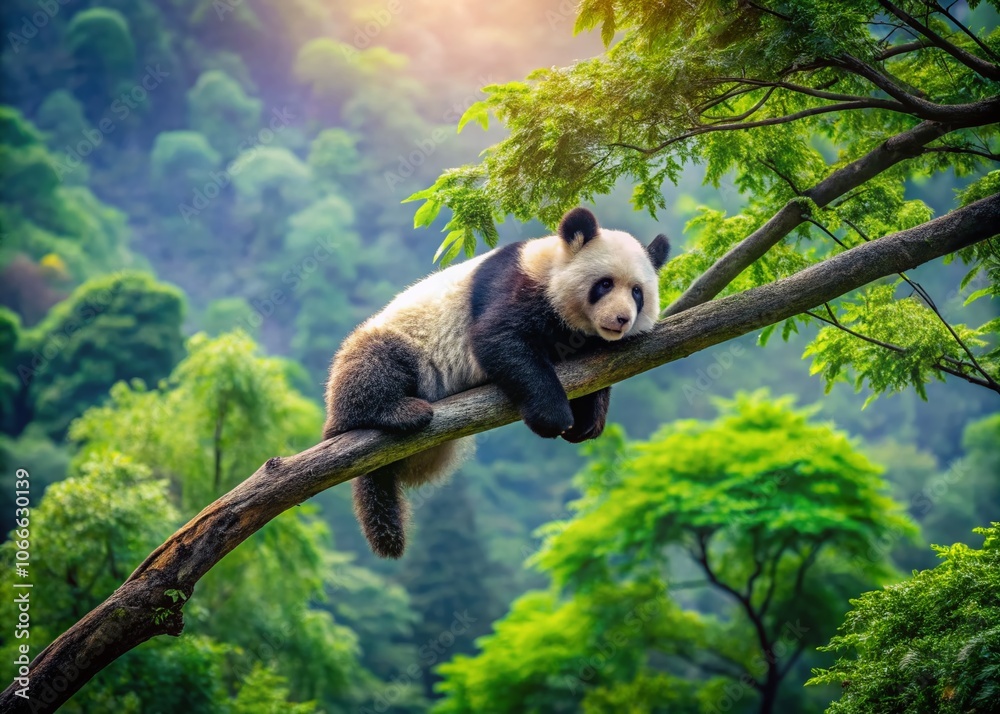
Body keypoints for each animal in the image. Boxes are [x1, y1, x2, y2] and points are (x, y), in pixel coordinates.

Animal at [323, 207, 669, 558]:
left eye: (637, 292)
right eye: (605, 284)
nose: (622, 320)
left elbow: (597, 371)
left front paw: (586, 422)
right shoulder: (517, 286)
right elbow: (499, 339)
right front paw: (553, 417)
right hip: (398, 344)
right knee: (374, 367)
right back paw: (398, 411)